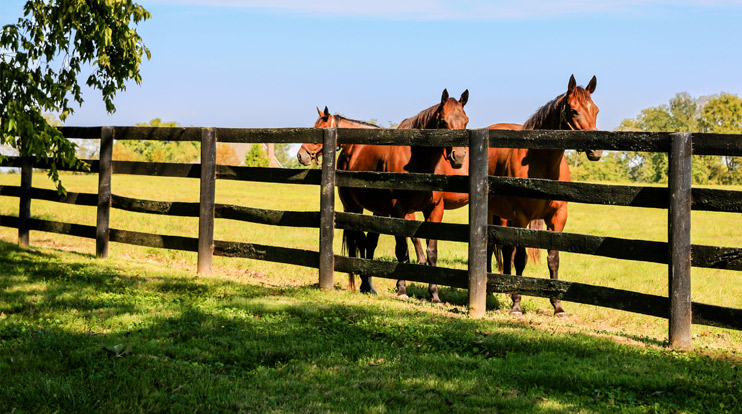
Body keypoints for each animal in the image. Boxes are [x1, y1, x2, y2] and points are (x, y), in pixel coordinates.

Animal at [488, 74, 604, 316]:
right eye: (573, 110)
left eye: (596, 110)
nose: (596, 151)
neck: (541, 163)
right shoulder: (521, 218)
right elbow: (520, 259)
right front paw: (517, 304)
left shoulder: (557, 218)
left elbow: (554, 259)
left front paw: (558, 306)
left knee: (506, 250)